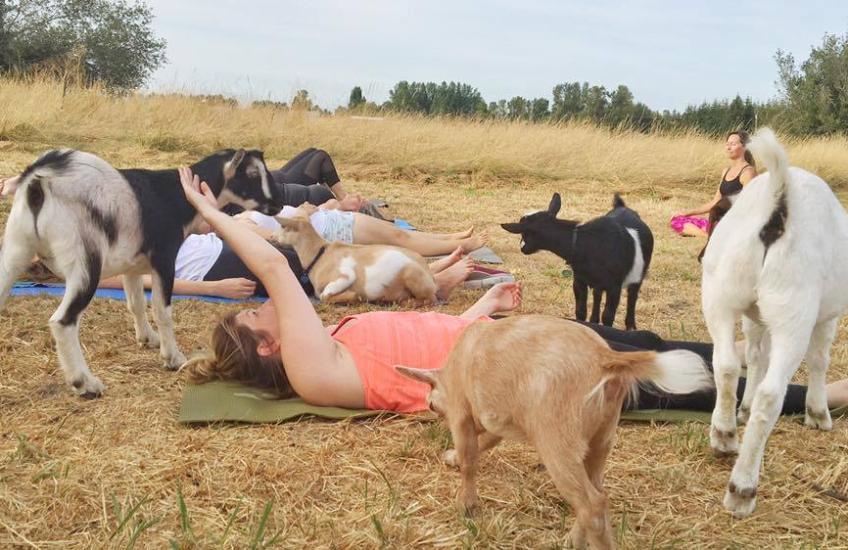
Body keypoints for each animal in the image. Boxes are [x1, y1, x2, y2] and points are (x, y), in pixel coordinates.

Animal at [0, 148, 282, 398]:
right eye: (252, 174)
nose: (278, 206)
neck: (176, 196)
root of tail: (38, 183)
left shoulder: (132, 265)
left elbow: (136, 303)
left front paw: (148, 339)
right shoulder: (164, 260)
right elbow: (161, 310)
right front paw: (172, 357)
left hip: (17, 245)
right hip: (84, 260)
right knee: (63, 320)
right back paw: (85, 383)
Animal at [270, 214, 437, 304]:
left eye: (282, 227)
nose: (271, 236)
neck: (319, 254)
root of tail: (430, 276)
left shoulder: (345, 275)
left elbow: (325, 296)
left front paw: (353, 296)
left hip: (412, 276)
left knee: (430, 299)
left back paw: (406, 302)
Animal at [396, 315, 712, 550]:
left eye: (430, 402)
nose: (432, 409)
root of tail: (605, 357)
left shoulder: (461, 414)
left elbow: (469, 460)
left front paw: (466, 505)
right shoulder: (497, 422)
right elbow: (486, 441)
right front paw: (451, 458)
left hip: (557, 444)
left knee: (593, 505)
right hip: (601, 440)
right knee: (597, 493)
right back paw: (573, 540)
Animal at [502, 193, 654, 330]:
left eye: (525, 233)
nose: (522, 248)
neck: (584, 244)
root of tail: (622, 207)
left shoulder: (614, 287)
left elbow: (608, 316)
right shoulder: (579, 280)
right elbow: (580, 311)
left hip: (639, 273)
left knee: (632, 296)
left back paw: (630, 326)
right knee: (597, 295)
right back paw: (594, 320)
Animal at [701, 128, 848, 518]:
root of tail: (779, 201)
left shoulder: (754, 315)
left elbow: (755, 354)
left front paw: (744, 406)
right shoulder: (826, 315)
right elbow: (819, 359)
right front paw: (818, 413)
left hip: (720, 291)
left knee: (725, 363)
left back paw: (724, 435)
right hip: (794, 310)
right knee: (772, 394)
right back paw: (742, 488)